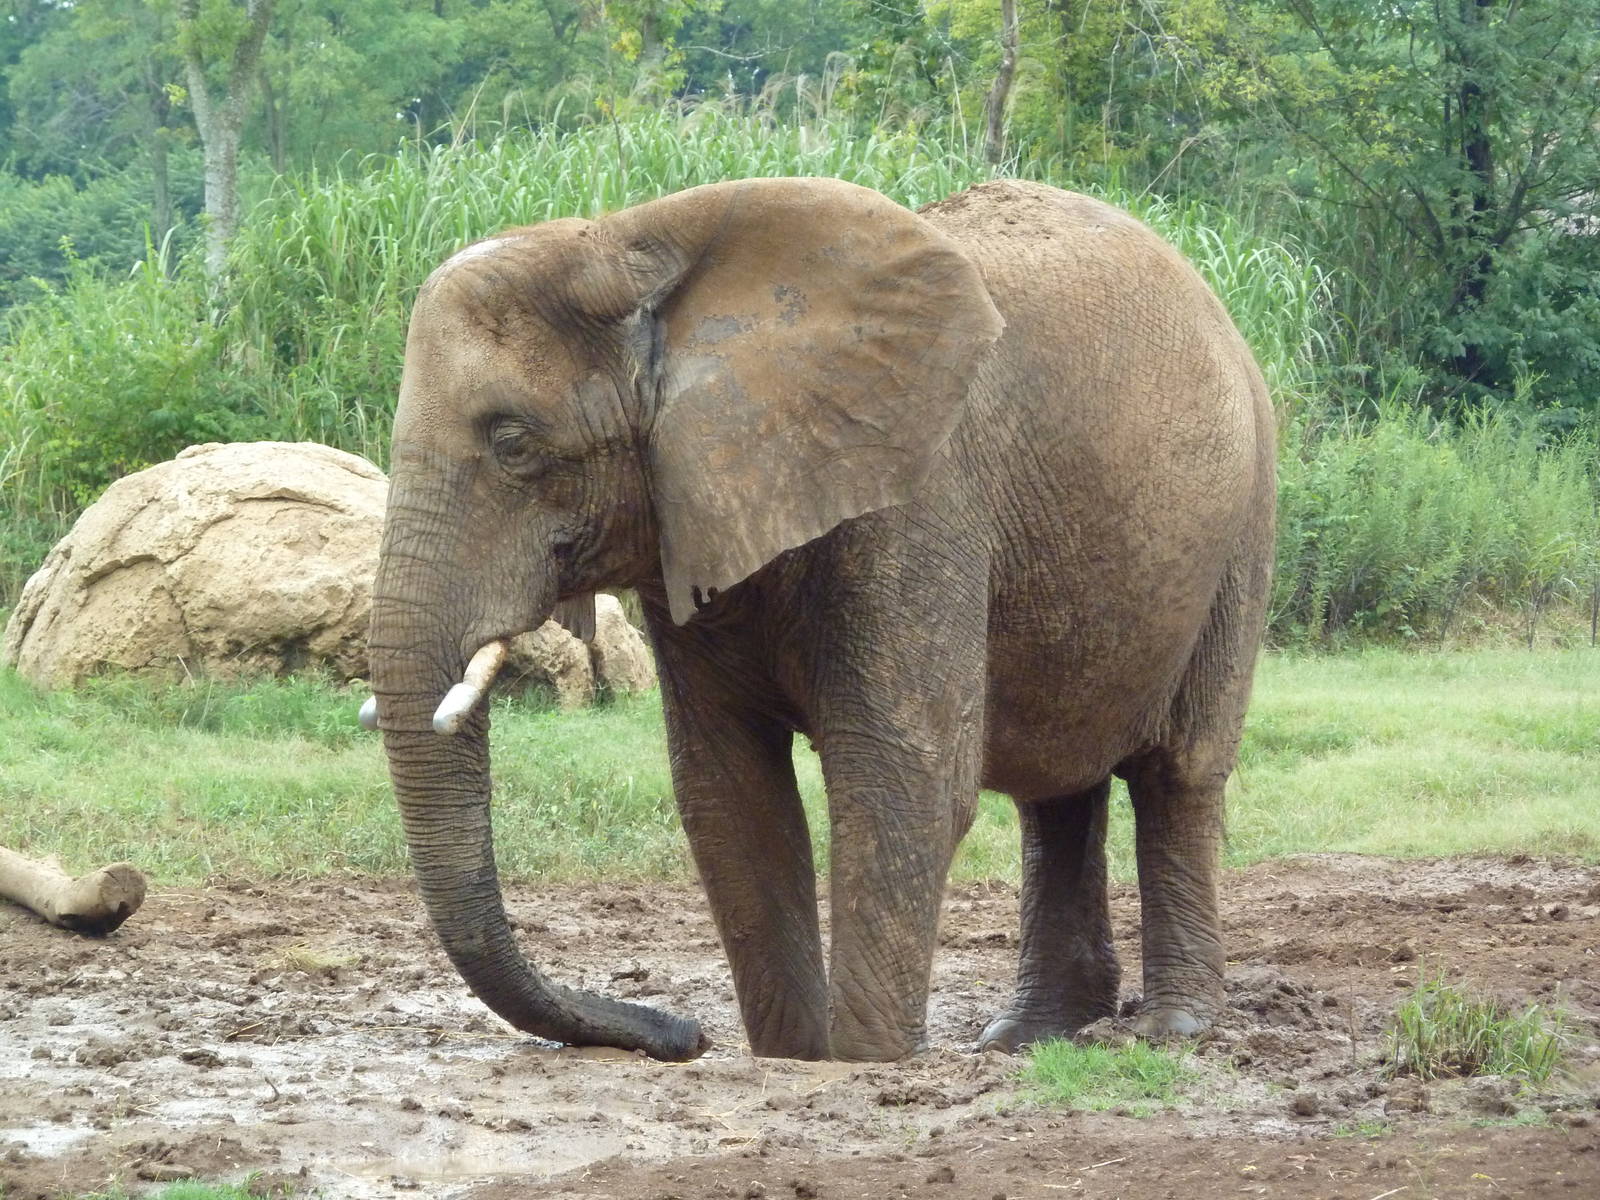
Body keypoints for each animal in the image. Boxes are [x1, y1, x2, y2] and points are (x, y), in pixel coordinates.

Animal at [364, 177, 1275, 1064]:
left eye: (512, 442)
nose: (681, 1037)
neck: (628, 239)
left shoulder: (919, 500)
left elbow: (902, 773)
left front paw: (866, 1063)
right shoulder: (688, 516)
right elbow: (727, 789)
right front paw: (792, 1057)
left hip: (1244, 522)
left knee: (1182, 770)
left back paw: (1169, 1031)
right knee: (1056, 787)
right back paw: (1029, 1036)